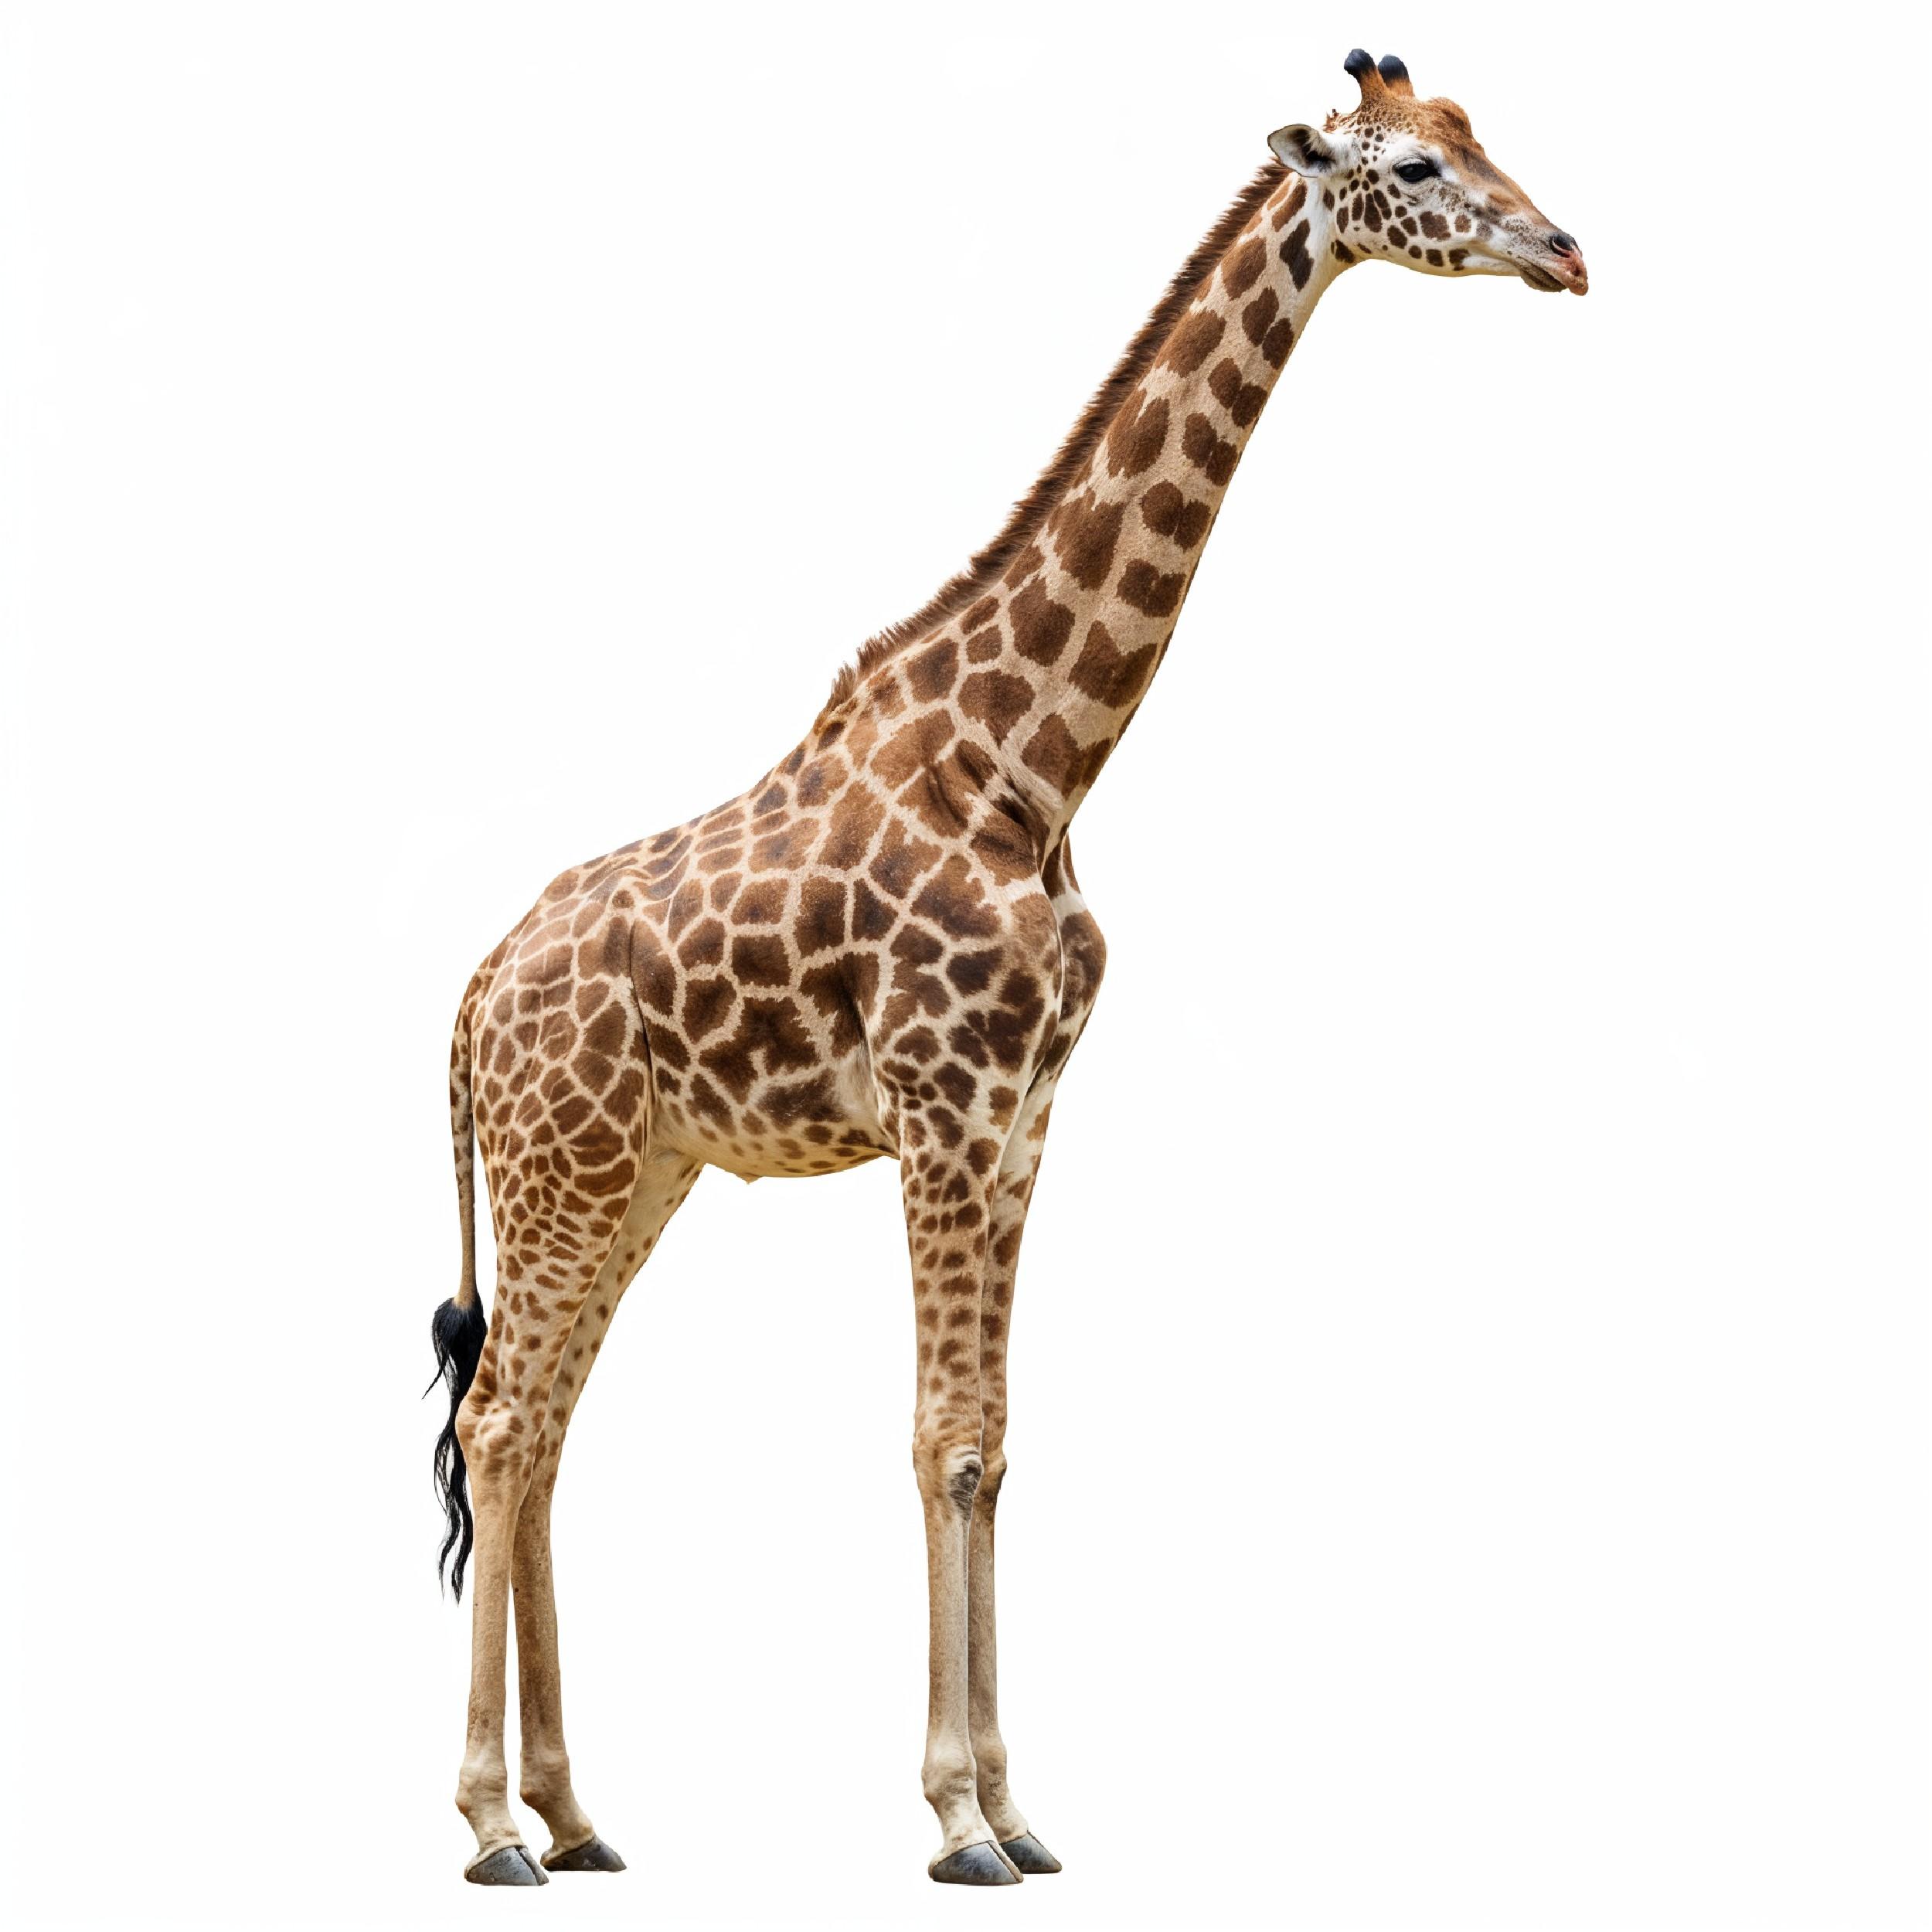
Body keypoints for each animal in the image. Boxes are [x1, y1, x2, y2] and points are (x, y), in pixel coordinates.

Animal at [427, 49, 1587, 1888]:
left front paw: (1017, 1808)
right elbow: (941, 1435)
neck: (1034, 765)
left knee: (539, 1432)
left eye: (1478, 136)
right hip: (565, 1170)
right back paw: (487, 1823)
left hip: (630, 1174)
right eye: (1410, 165)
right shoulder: (945, 1103)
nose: (1565, 252)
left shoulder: (1029, 1114)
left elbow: (995, 1444)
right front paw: (958, 1817)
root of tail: (470, 998)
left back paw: (574, 1810)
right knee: (495, 1426)